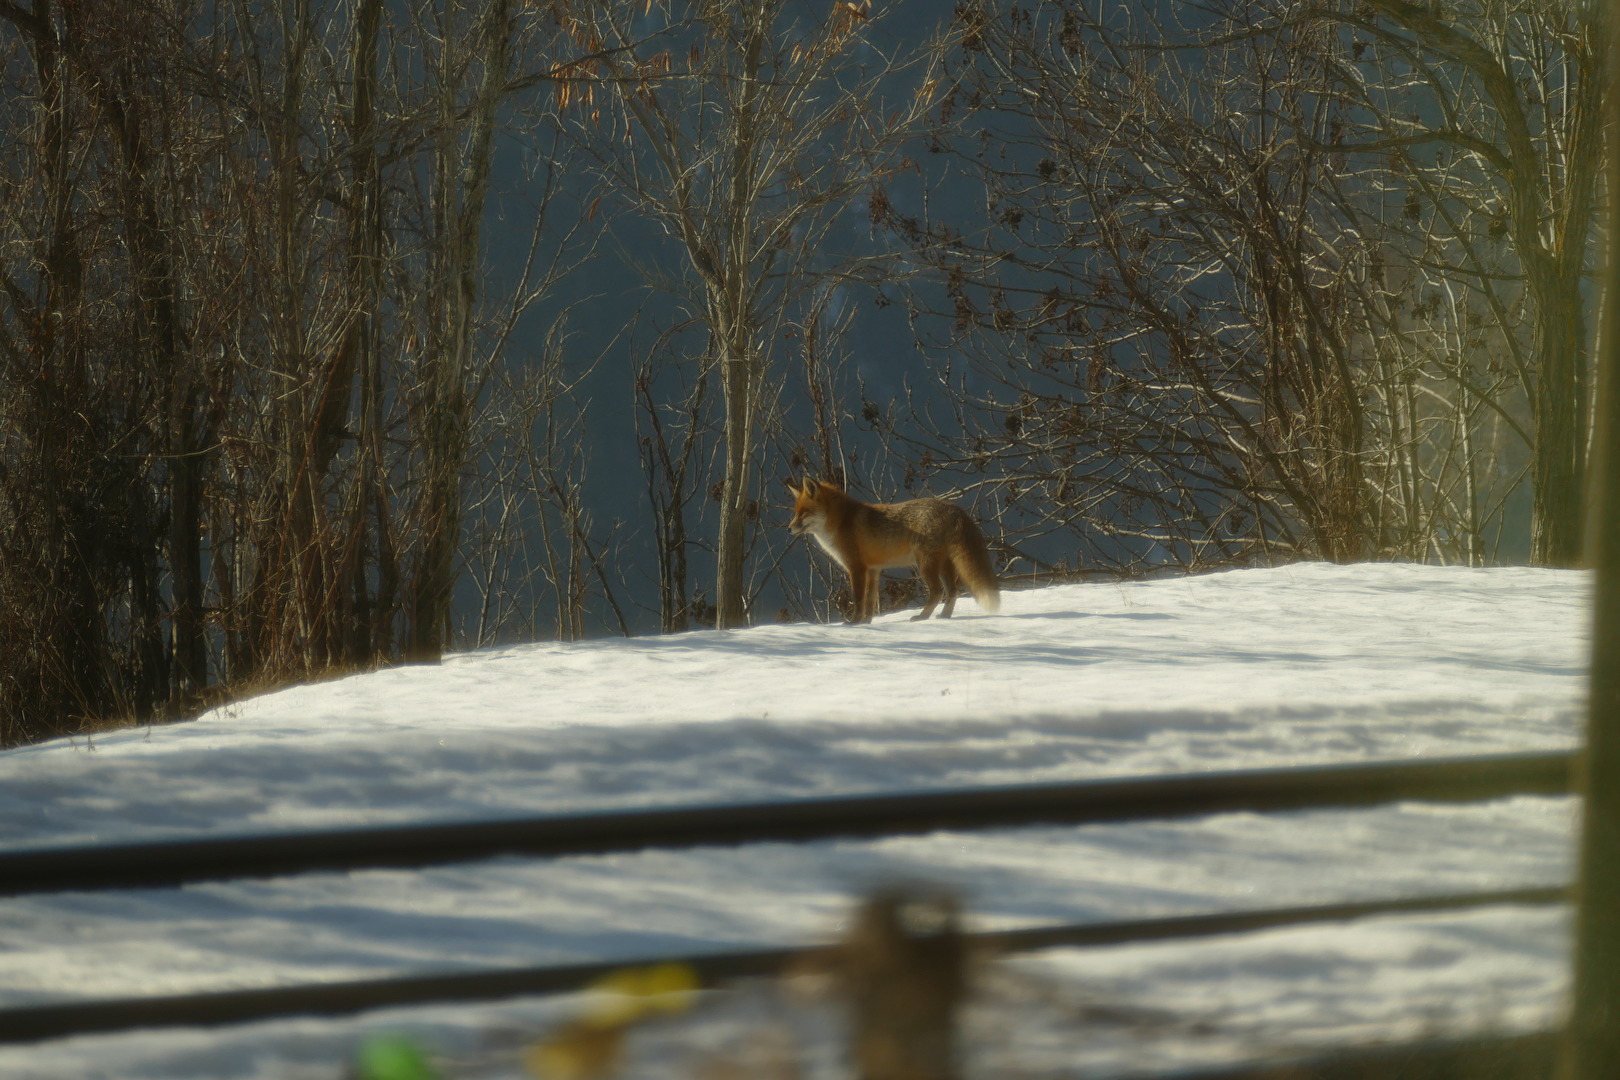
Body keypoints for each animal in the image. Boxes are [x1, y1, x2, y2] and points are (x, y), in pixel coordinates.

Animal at [785, 478, 1000, 624]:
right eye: (795, 513)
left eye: (803, 513)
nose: (788, 529)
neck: (841, 522)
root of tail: (953, 507)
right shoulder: (873, 569)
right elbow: (870, 600)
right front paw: (866, 622)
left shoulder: (857, 568)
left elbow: (859, 599)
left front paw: (854, 622)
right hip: (944, 565)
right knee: (953, 592)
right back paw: (944, 617)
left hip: (925, 564)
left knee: (938, 592)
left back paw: (922, 617)